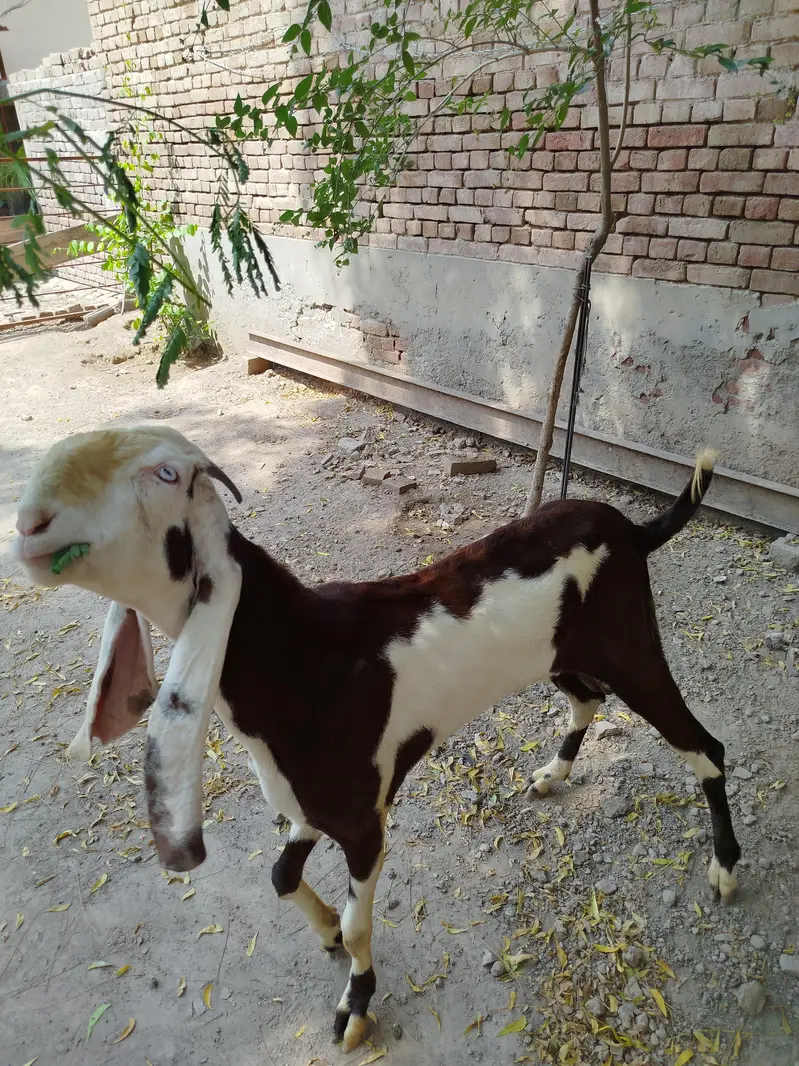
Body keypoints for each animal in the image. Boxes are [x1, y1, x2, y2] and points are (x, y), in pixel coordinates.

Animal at [13, 426, 740, 1052]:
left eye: (164, 473)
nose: (28, 526)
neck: (305, 659)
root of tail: (632, 531)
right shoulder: (311, 803)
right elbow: (281, 875)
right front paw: (327, 935)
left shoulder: (364, 825)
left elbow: (361, 922)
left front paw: (355, 1007)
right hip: (561, 653)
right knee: (587, 697)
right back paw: (553, 775)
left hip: (633, 652)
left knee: (705, 748)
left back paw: (726, 868)